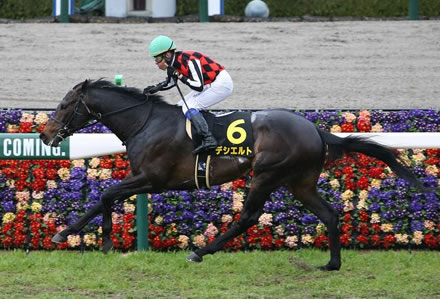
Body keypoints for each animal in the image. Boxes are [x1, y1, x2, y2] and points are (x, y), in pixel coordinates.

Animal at [39, 80, 424, 272]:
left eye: (63, 105)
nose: (45, 134)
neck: (145, 122)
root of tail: (316, 130)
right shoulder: (143, 178)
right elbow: (102, 199)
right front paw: (71, 235)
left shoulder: (153, 178)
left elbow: (106, 196)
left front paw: (97, 240)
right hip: (299, 182)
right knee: (329, 214)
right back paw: (331, 264)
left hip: (267, 174)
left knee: (248, 217)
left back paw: (200, 252)